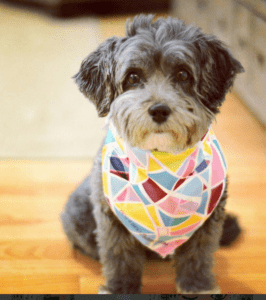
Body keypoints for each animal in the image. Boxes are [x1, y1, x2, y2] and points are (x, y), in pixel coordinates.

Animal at [61, 15, 244, 294]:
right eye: (133, 77)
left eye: (183, 74)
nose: (159, 110)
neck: (163, 165)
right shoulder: (112, 221)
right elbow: (120, 257)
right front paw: (120, 289)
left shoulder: (209, 221)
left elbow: (198, 257)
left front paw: (198, 287)